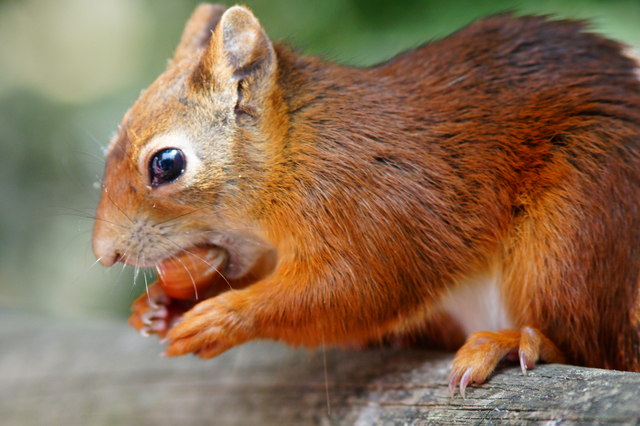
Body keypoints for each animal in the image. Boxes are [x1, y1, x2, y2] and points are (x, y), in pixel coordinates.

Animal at [92, 4, 636, 396]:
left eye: (166, 163)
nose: (105, 253)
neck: (296, 151)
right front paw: (156, 306)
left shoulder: (371, 203)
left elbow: (354, 289)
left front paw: (220, 318)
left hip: (573, 223)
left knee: (588, 346)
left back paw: (514, 342)